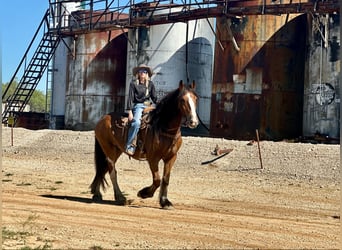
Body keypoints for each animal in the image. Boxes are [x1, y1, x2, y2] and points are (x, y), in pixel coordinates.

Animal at [89, 80, 199, 209]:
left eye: (196, 98)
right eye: (182, 100)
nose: (193, 122)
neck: (163, 127)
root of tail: (102, 119)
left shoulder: (171, 157)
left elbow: (165, 179)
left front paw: (165, 201)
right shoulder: (153, 158)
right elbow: (157, 179)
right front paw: (144, 193)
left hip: (115, 151)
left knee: (102, 169)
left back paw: (97, 194)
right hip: (109, 150)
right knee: (112, 172)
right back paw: (120, 197)